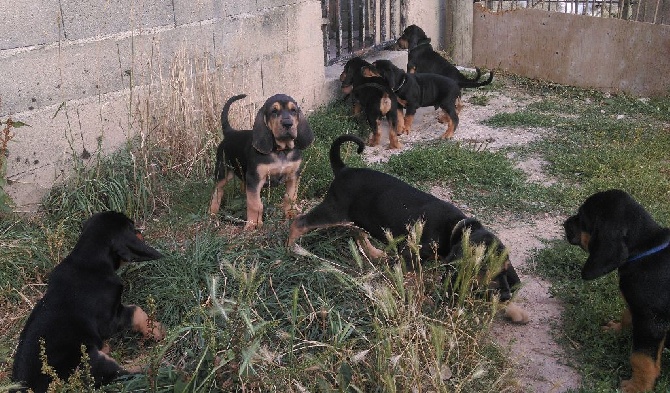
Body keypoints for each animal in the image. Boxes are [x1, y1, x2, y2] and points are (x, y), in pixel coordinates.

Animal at [11, 211, 165, 392]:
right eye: (132, 228)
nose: (141, 232)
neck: (87, 259)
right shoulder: (108, 322)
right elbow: (136, 310)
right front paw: (156, 330)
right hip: (89, 360)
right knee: (123, 374)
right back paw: (154, 360)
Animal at [210, 93, 316, 228]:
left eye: (293, 110)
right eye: (274, 111)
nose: (288, 123)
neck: (281, 151)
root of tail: (230, 132)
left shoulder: (293, 176)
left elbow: (290, 197)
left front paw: (290, 214)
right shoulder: (255, 179)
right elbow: (255, 204)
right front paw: (252, 225)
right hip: (223, 172)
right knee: (217, 192)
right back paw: (212, 214)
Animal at [288, 133, 520, 298]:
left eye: (505, 268)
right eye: (485, 269)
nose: (507, 296)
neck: (454, 228)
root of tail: (343, 170)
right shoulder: (411, 254)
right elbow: (414, 279)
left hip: (358, 217)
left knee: (357, 233)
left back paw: (376, 254)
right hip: (332, 211)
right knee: (299, 222)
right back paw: (291, 247)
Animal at [568, 188, 670, 390]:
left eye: (582, 217)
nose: (565, 223)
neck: (644, 250)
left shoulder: (651, 322)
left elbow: (642, 358)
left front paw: (637, 387)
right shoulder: (637, 309)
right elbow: (626, 316)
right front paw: (615, 330)